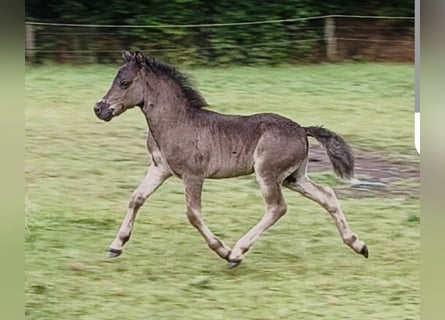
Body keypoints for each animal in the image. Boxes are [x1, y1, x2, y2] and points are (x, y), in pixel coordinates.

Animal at [93, 50, 368, 268]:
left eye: (125, 82)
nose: (99, 109)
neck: (176, 122)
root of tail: (302, 129)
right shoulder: (160, 168)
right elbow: (136, 198)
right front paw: (116, 245)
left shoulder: (193, 175)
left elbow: (193, 214)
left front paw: (223, 250)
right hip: (293, 177)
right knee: (327, 195)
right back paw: (358, 244)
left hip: (267, 173)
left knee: (277, 207)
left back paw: (237, 253)